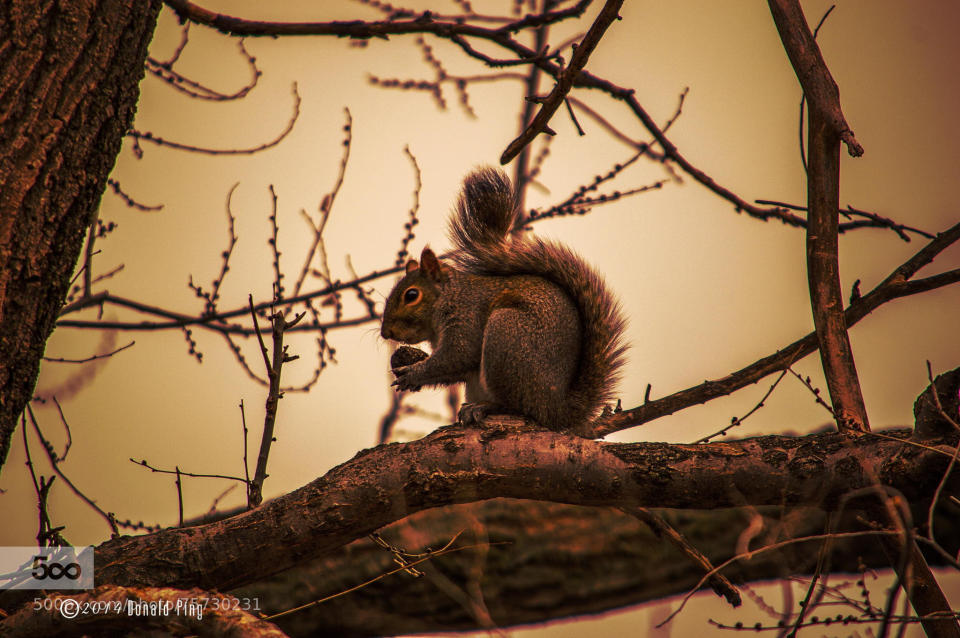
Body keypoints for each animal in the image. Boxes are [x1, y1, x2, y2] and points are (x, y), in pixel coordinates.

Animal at [378, 166, 628, 436]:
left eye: (411, 295)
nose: (385, 332)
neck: (449, 296)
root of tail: (557, 410)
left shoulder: (467, 316)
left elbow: (459, 356)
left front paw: (413, 373)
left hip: (506, 337)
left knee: (514, 406)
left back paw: (486, 406)